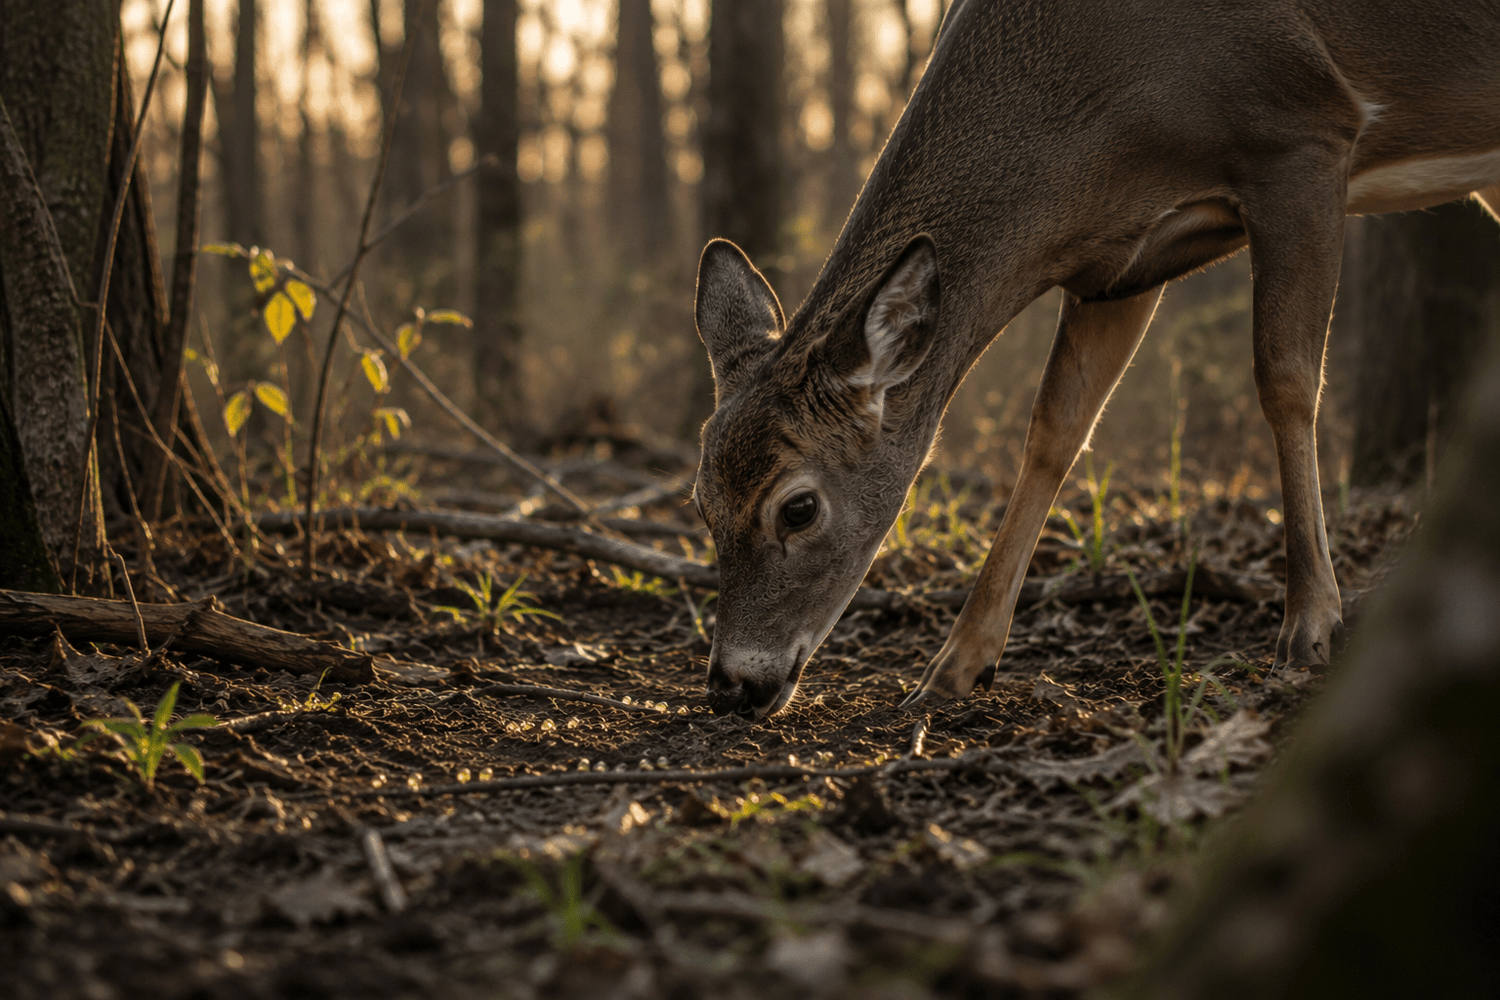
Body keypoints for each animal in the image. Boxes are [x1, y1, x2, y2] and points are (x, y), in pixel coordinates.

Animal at [691, 0, 1500, 718]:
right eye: (700, 502)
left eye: (798, 507)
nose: (733, 686)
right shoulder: (1116, 265)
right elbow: (1055, 429)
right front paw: (954, 667)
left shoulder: (1302, 134)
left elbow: (1287, 381)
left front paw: (1309, 627)